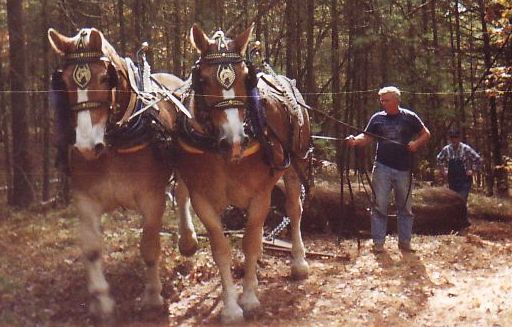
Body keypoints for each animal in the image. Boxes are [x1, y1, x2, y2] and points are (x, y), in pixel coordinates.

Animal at [47, 28, 198, 320]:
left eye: (105, 78)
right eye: (65, 81)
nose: (86, 146)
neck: (114, 142)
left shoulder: (151, 198)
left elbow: (149, 247)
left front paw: (152, 296)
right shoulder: (85, 199)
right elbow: (92, 251)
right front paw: (101, 301)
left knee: (184, 193)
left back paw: (188, 240)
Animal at [175, 24, 312, 324]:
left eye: (245, 77)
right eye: (203, 80)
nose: (234, 140)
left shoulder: (260, 195)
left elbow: (249, 243)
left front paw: (248, 298)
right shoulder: (203, 199)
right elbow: (221, 249)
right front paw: (230, 306)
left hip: (295, 164)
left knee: (294, 209)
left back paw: (298, 262)